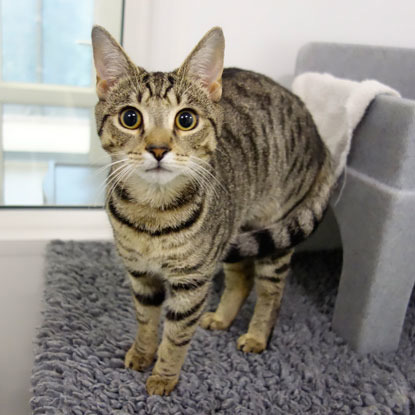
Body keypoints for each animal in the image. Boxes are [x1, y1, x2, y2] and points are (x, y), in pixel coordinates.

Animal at [91, 25, 334, 396]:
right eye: (130, 118)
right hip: (235, 232)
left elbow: (176, 337)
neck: (152, 214)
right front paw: (141, 354)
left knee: (271, 291)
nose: (158, 149)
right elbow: (146, 321)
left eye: (186, 119)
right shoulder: (140, 274)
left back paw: (257, 335)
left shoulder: (191, 281)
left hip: (276, 233)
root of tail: (320, 135)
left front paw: (163, 377)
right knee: (242, 277)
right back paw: (222, 318)